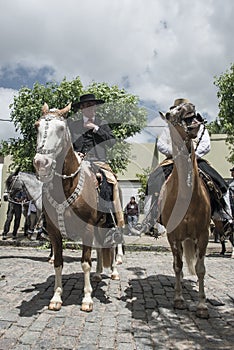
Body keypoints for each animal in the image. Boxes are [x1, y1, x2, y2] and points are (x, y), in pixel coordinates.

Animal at [33, 102, 123, 310]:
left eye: (60, 128)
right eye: (37, 126)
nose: (41, 163)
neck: (67, 186)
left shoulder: (87, 228)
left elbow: (85, 263)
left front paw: (87, 299)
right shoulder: (54, 232)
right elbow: (58, 262)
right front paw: (56, 297)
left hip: (114, 221)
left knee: (114, 245)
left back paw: (114, 272)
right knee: (100, 248)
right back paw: (98, 274)